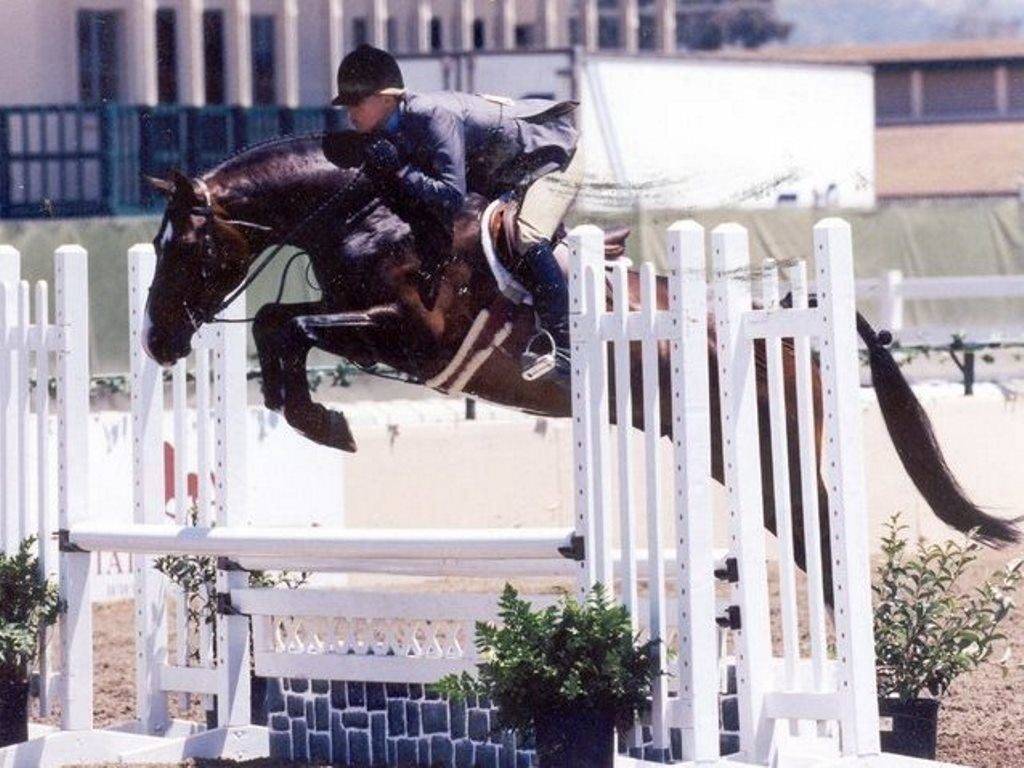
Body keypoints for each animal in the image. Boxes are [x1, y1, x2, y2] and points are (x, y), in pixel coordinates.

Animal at [142, 130, 1019, 603]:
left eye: (186, 248)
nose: (156, 341)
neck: (371, 212)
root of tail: (794, 319)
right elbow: (276, 322)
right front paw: (313, 414)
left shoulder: (415, 335)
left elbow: (288, 323)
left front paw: (325, 421)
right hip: (733, 456)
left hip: (775, 451)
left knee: (821, 535)